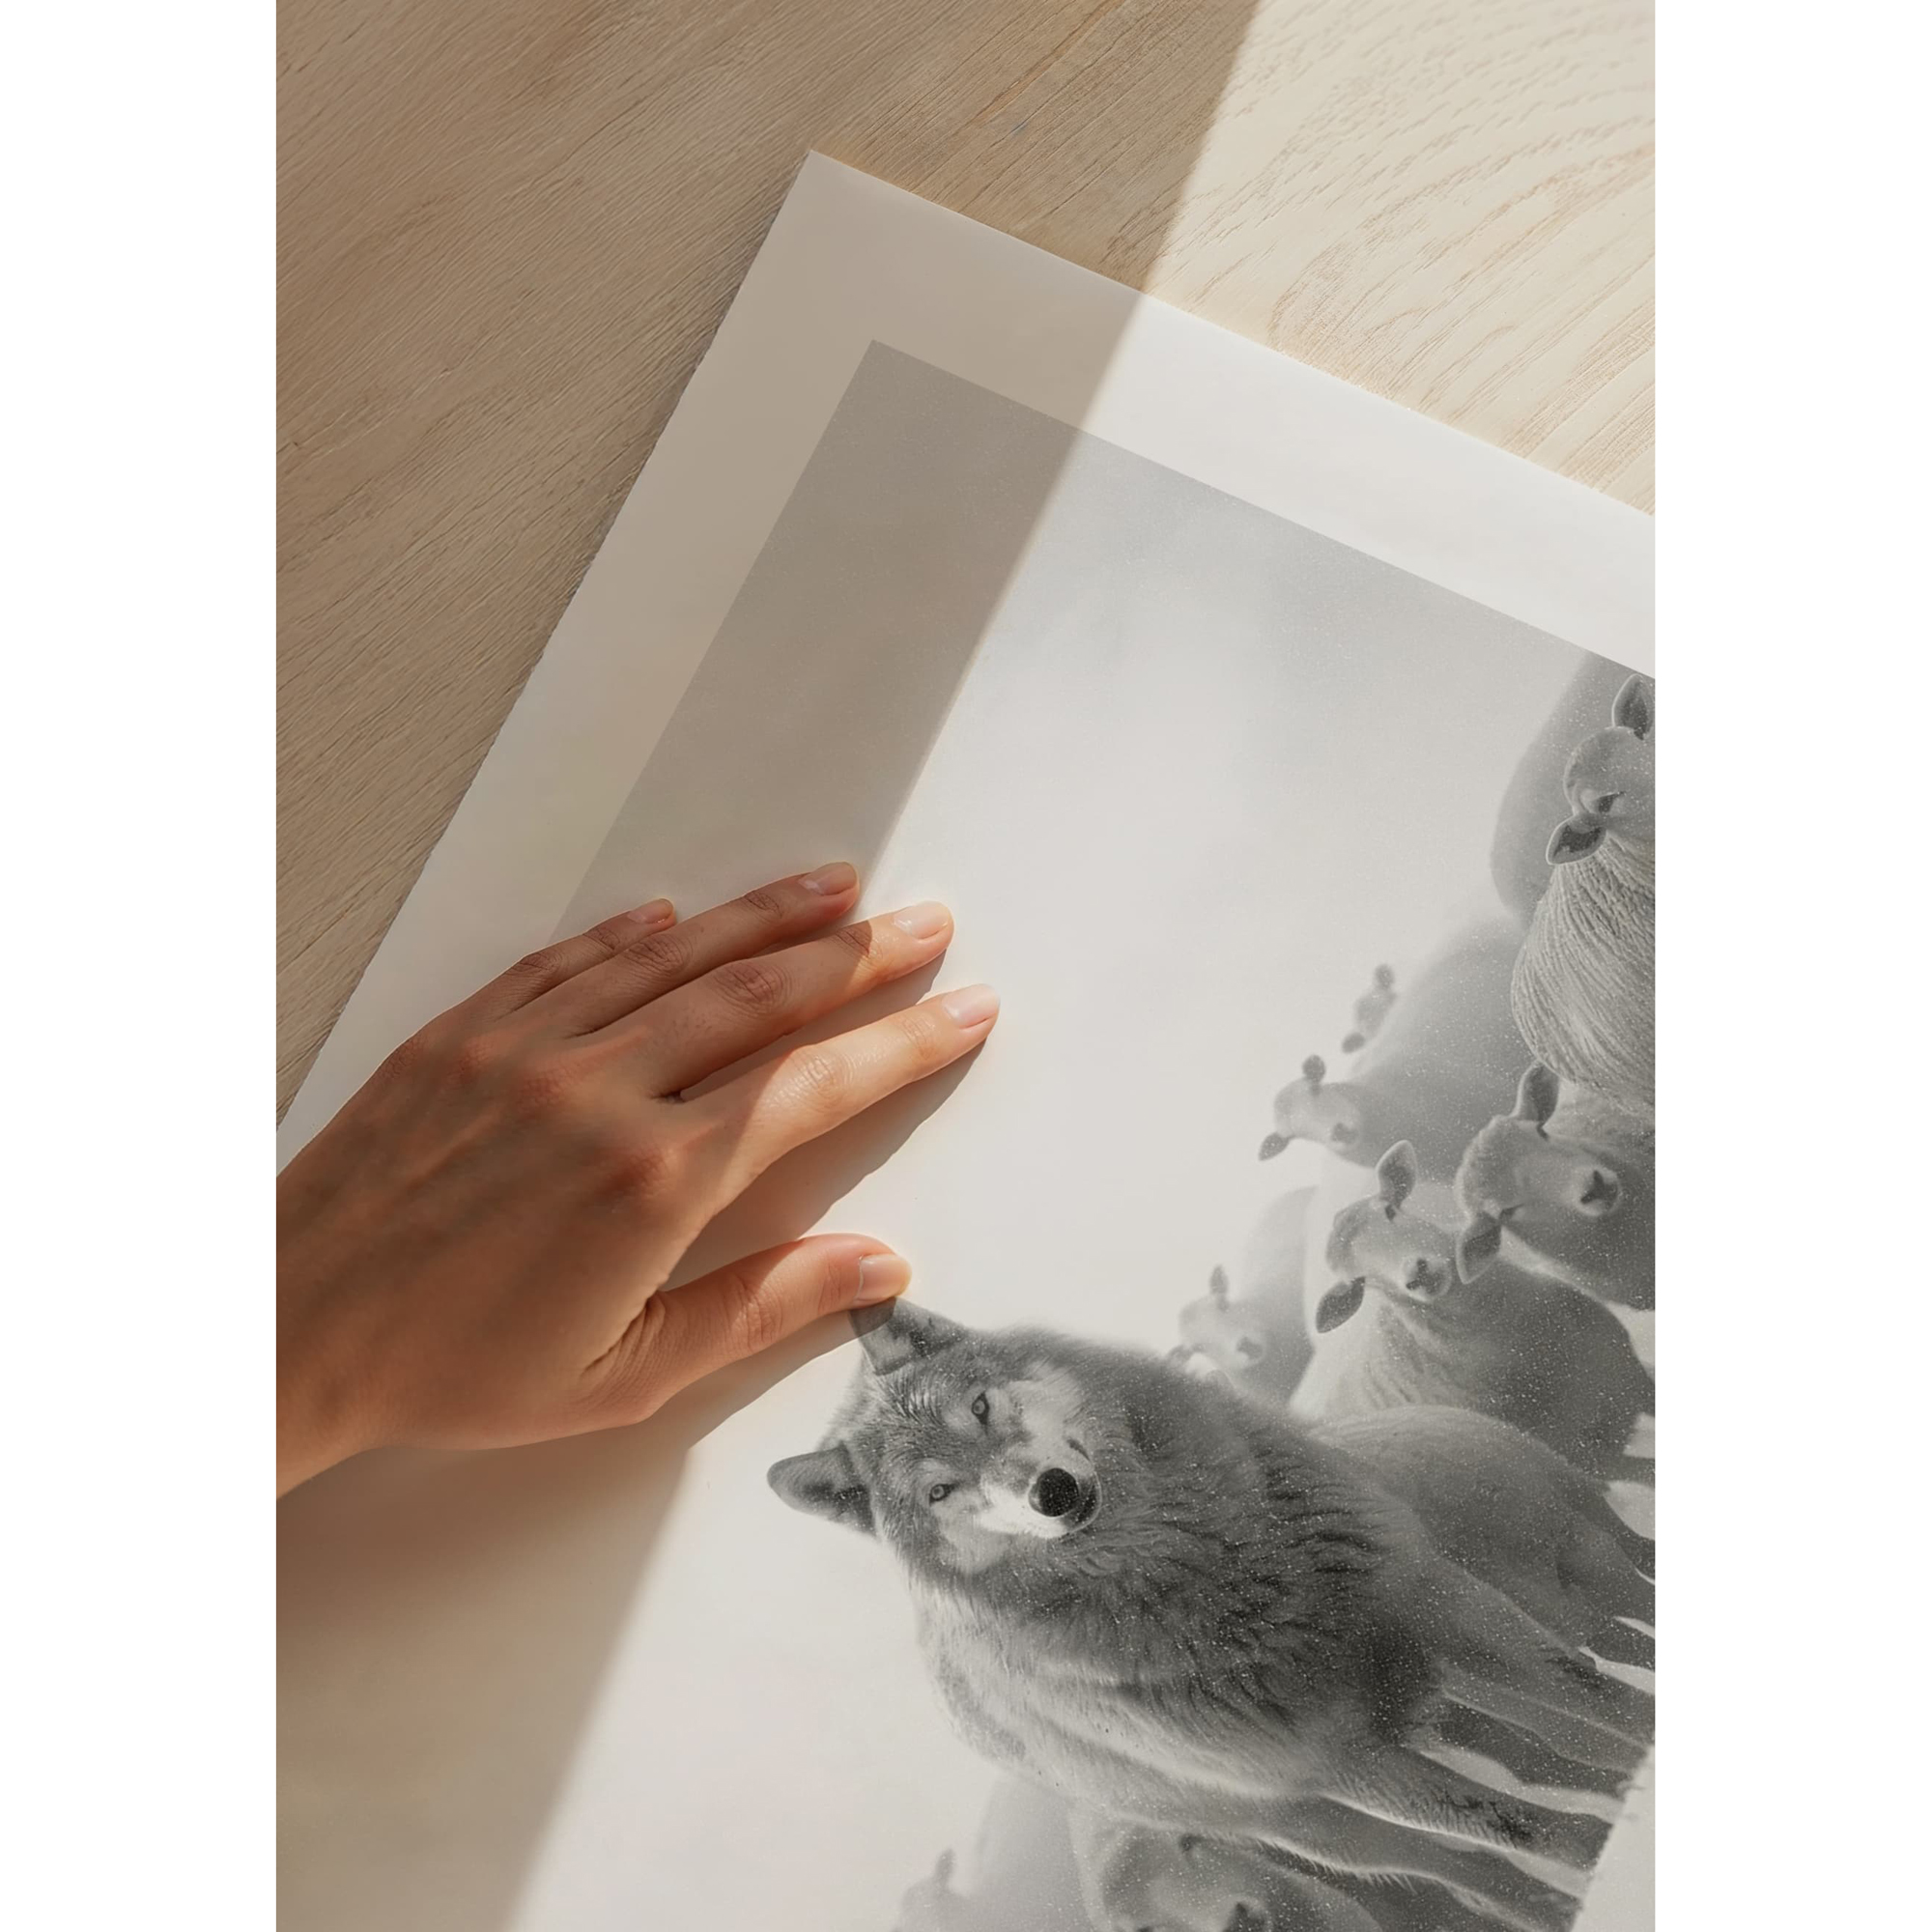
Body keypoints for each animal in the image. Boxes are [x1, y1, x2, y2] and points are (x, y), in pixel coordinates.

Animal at [771, 1304, 1652, 1932]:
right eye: (939, 1492)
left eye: (980, 1407)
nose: (1051, 1492)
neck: (1229, 1575)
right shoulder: (1348, 1766)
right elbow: (1527, 1832)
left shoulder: (1439, 1601)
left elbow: (1594, 1706)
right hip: (1324, 1825)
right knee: (1471, 1870)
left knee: (1551, 1752)